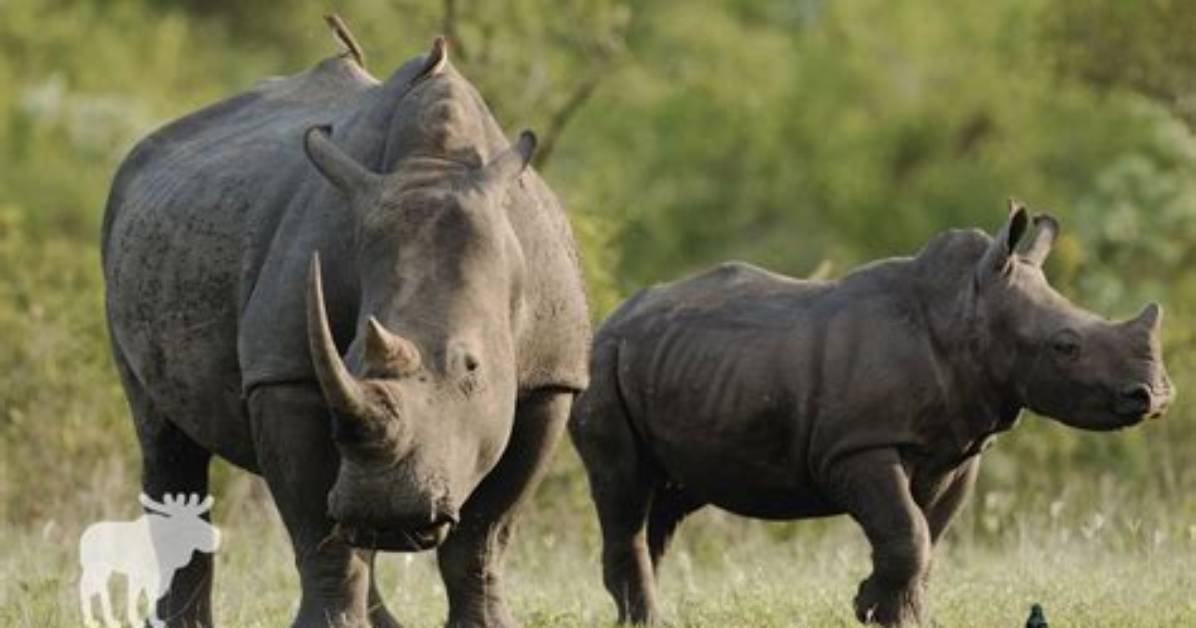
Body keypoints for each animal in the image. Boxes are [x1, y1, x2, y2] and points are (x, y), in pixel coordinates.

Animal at [101, 33, 589, 627]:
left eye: (472, 366)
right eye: (349, 355)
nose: (390, 513)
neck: (433, 167)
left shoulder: (551, 378)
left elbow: (484, 534)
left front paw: (487, 624)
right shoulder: (283, 374)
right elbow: (319, 529)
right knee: (164, 438)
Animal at [569, 202, 1173, 626]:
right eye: (1065, 346)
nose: (1154, 395)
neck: (966, 312)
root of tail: (613, 317)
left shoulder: (956, 448)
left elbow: (927, 538)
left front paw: (898, 615)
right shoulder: (858, 445)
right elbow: (908, 533)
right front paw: (873, 610)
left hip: (676, 366)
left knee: (666, 499)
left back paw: (644, 618)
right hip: (603, 367)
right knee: (625, 490)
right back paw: (645, 618)